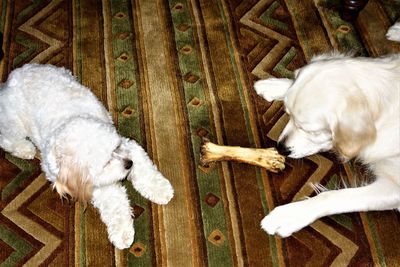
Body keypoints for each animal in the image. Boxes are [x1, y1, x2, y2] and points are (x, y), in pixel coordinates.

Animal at [0, 63, 173, 250]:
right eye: (106, 162)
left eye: (116, 147)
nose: (129, 164)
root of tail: (13, 76)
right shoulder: (93, 184)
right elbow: (115, 203)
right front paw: (122, 232)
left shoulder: (128, 146)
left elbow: (146, 171)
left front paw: (160, 189)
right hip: (14, 123)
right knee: (6, 138)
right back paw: (24, 148)